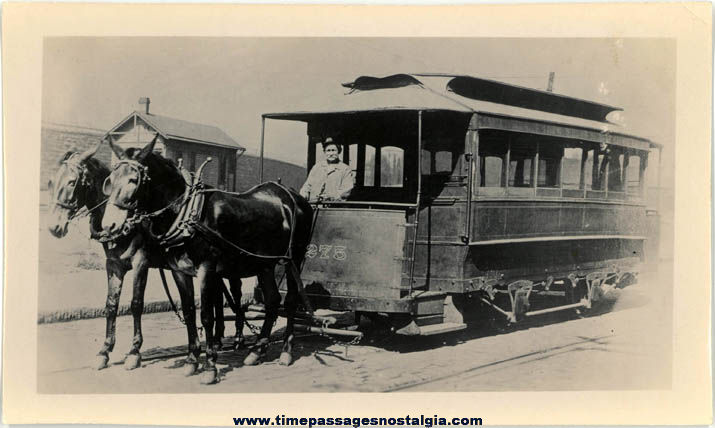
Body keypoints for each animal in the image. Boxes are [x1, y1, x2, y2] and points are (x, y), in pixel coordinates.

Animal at [46, 141, 229, 374]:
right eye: (51, 182)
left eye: (72, 182)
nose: (54, 227)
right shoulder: (113, 264)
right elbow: (111, 305)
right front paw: (104, 351)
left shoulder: (140, 262)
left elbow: (136, 304)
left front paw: (134, 352)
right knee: (217, 297)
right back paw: (218, 340)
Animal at [100, 136, 314, 384]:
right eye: (109, 180)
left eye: (134, 180)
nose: (109, 226)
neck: (187, 212)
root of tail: (290, 195)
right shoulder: (179, 271)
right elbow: (189, 312)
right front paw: (192, 360)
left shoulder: (207, 269)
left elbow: (206, 315)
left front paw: (210, 366)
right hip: (264, 264)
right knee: (272, 300)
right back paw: (256, 351)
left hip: (293, 259)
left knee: (290, 301)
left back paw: (286, 351)